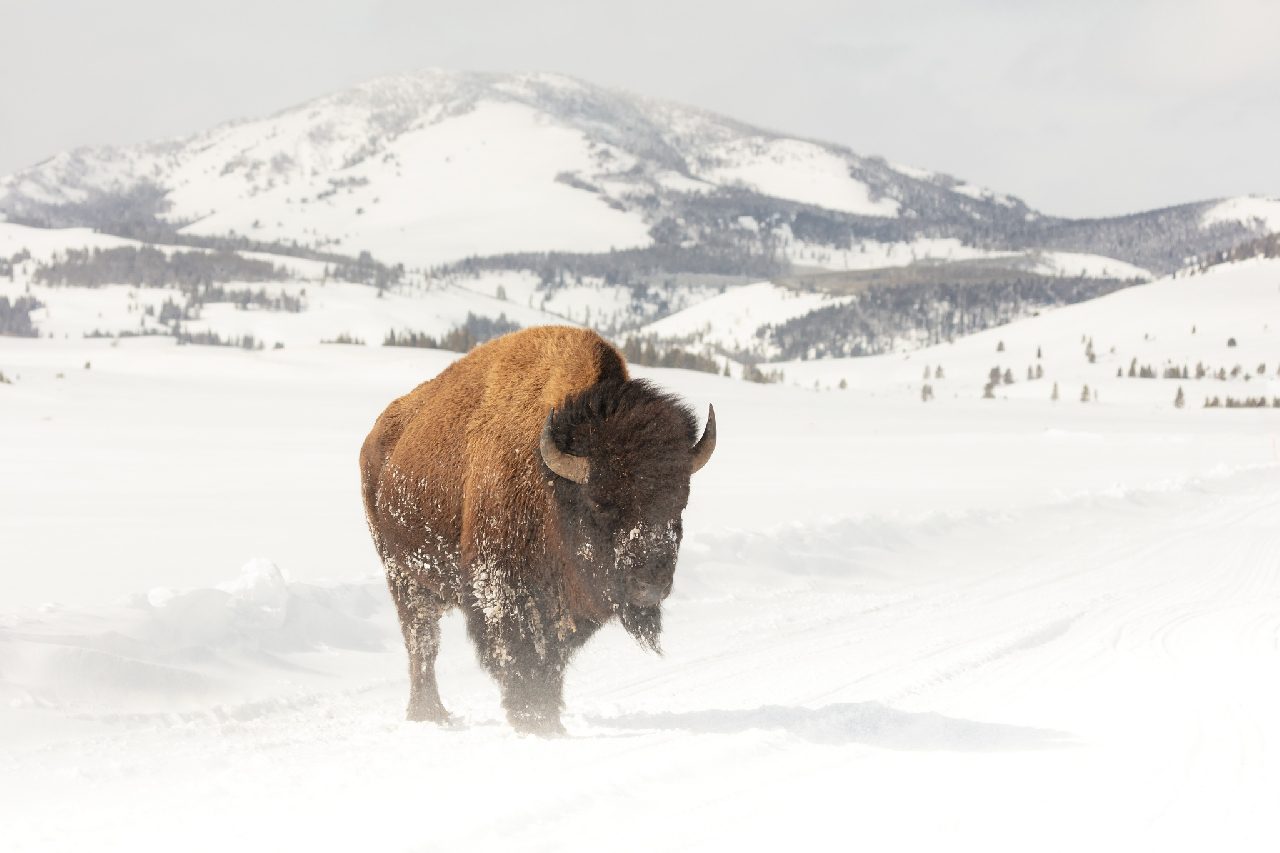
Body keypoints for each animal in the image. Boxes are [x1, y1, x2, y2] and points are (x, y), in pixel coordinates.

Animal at [360, 326, 715, 735]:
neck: (552, 486)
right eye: (599, 502)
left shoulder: (569, 607)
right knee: (422, 641)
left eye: (680, 501)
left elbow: (552, 659)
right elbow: (521, 654)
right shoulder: (503, 590)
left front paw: (548, 717)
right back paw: (429, 713)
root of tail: (378, 436)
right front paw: (532, 719)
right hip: (403, 576)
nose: (650, 586)